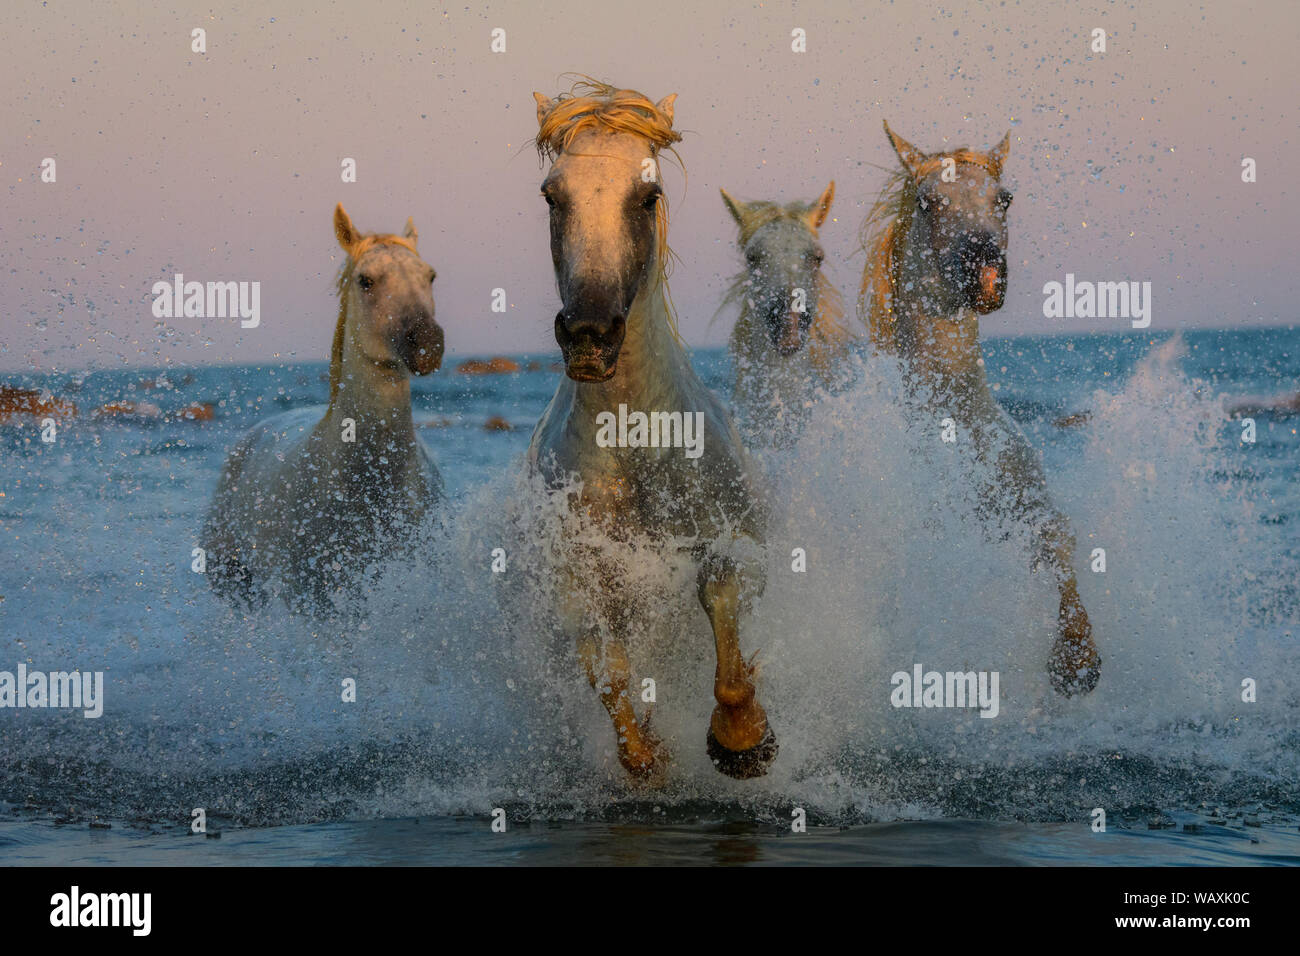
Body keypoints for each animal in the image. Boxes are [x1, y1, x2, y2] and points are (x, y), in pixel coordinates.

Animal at [527, 80, 776, 780]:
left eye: (650, 195)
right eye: (552, 195)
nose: (589, 334)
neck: (632, 446)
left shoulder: (735, 546)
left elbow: (720, 591)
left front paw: (742, 739)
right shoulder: (580, 583)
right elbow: (607, 672)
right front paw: (647, 755)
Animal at [858, 121, 1101, 696]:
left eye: (1004, 198)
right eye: (928, 202)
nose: (984, 271)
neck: (959, 425)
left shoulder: (1026, 501)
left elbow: (1057, 539)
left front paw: (1076, 655)